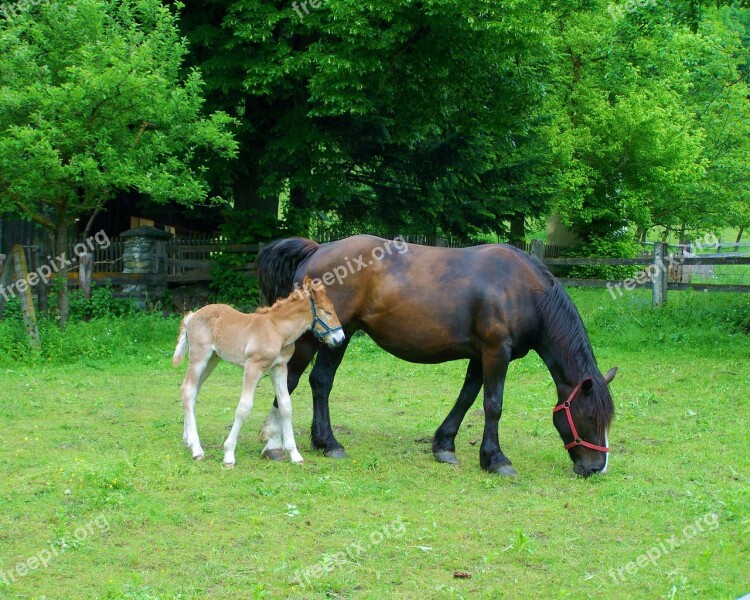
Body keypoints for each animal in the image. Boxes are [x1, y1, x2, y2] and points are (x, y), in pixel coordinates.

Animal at [172, 274, 346, 466]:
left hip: (212, 360)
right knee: (188, 391)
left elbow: (285, 405)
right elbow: (244, 407)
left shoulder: (279, 368)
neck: (276, 330)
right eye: (327, 312)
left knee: (191, 392)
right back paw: (196, 449)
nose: (340, 338)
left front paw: (295, 454)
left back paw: (188, 440)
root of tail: (192, 316)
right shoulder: (253, 367)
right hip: (199, 357)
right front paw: (229, 454)